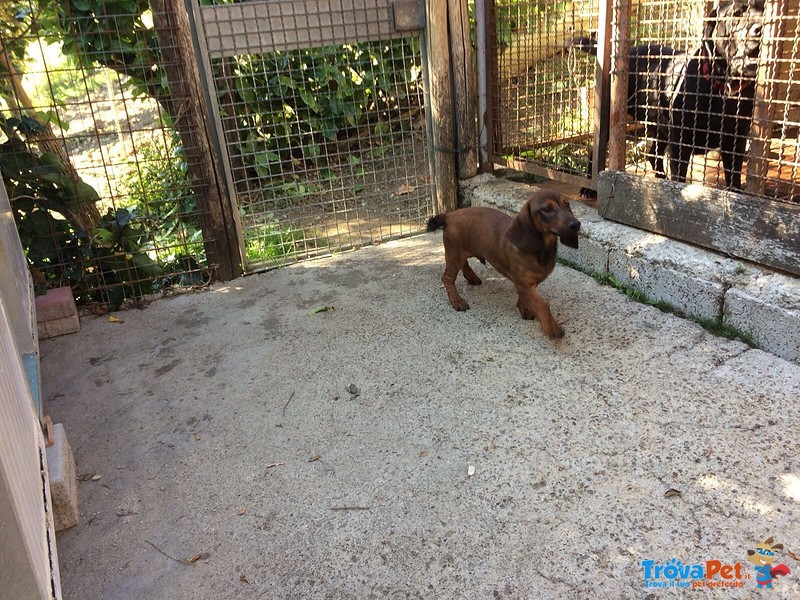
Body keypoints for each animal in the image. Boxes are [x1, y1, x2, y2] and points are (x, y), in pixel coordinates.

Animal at [424, 189, 580, 338]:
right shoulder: (524, 283)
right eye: (547, 209)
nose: (576, 224)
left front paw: (524, 307)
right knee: (447, 278)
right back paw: (456, 300)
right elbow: (542, 304)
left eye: (567, 204)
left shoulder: (526, 284)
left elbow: (526, 298)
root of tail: (449, 215)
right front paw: (551, 328)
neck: (541, 250)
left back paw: (471, 277)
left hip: (458, 254)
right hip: (454, 254)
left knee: (460, 266)